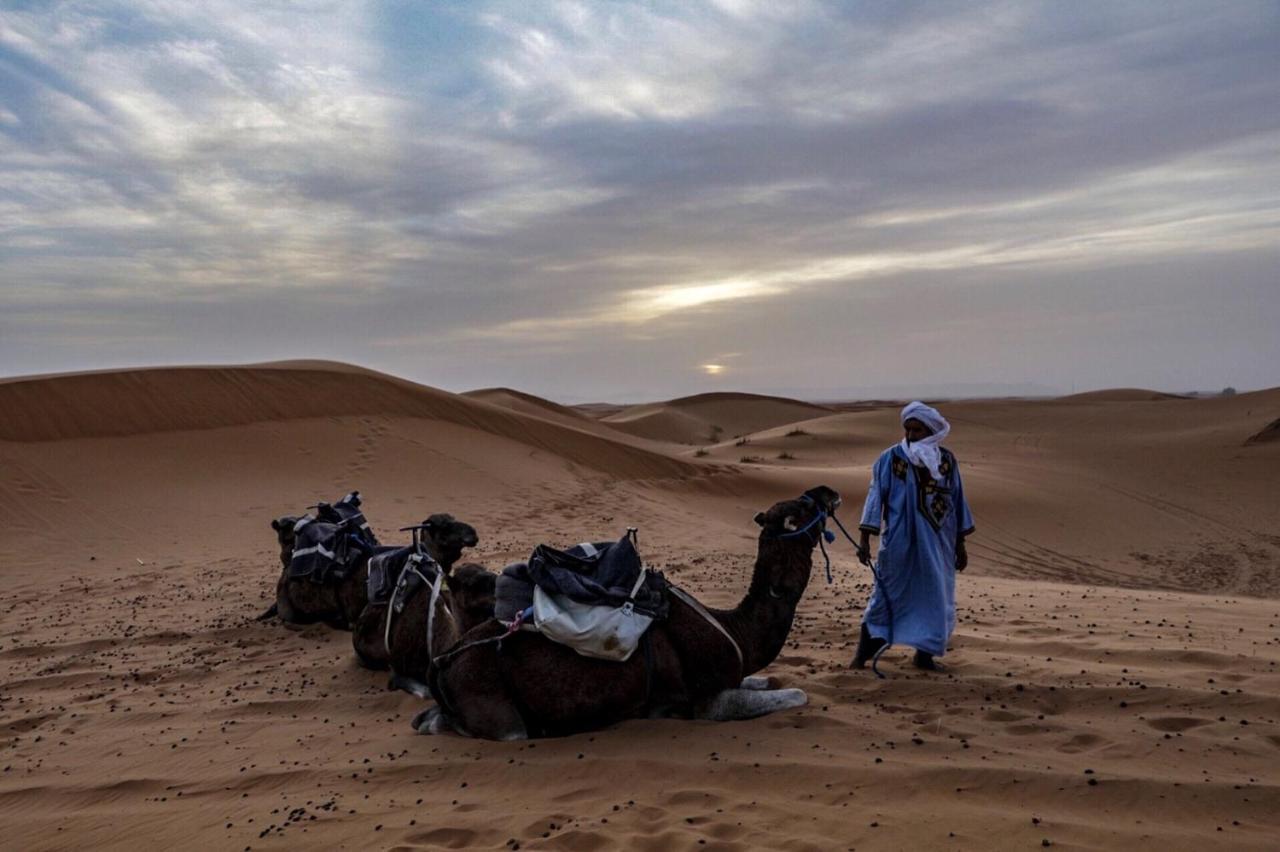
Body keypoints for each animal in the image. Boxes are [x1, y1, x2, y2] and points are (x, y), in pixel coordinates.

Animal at [414, 483, 844, 736]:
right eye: (803, 507)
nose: (828, 491)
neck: (735, 629)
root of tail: (443, 661)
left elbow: (768, 680)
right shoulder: (705, 703)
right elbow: (797, 694)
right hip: (496, 710)